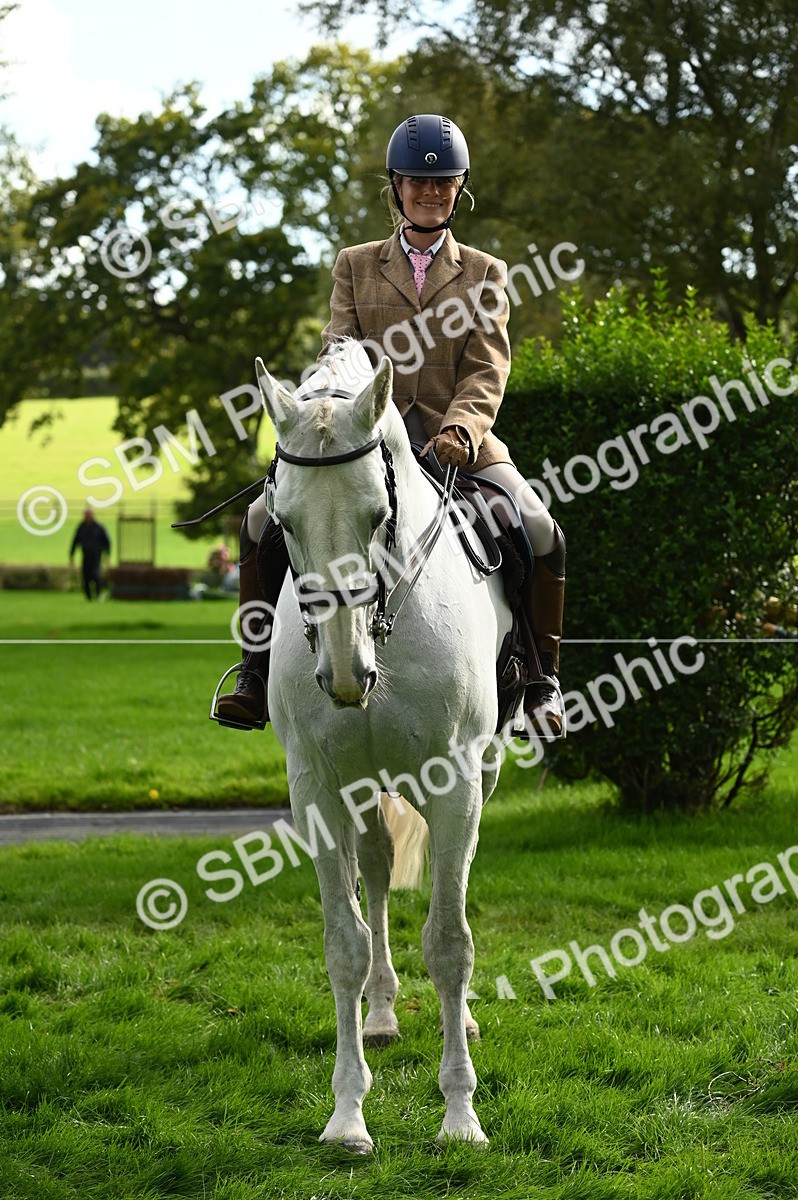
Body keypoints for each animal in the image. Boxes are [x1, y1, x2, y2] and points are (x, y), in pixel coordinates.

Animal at [255, 338, 520, 1153]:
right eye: (283, 522)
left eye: (379, 514)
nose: (345, 675)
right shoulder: (315, 788)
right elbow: (343, 941)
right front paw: (347, 1115)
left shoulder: (457, 780)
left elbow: (450, 942)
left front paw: (460, 1115)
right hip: (359, 784)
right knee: (373, 870)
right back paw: (380, 1013)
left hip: (479, 774)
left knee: (451, 870)